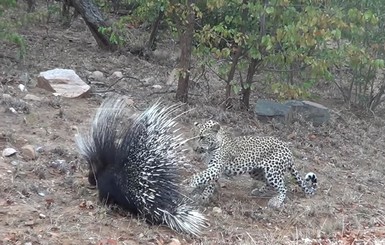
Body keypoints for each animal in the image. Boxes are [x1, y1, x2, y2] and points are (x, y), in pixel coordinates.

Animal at [189, 119, 318, 208]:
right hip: (256, 172)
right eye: (194, 137)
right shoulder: (214, 169)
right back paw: (259, 191)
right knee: (270, 183)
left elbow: (199, 176)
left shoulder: (215, 168)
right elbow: (209, 183)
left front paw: (190, 185)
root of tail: (288, 150)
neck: (213, 146)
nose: (195, 148)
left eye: (202, 137)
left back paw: (276, 201)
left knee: (283, 187)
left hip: (272, 171)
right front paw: (203, 197)